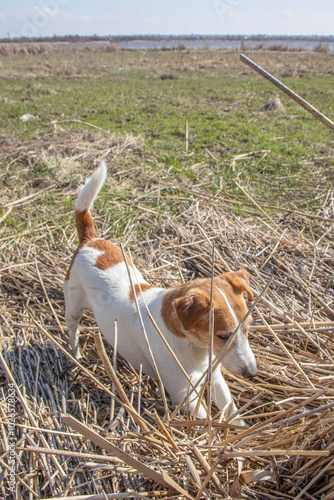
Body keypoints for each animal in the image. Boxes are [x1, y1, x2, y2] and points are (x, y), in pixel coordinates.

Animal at [64, 164, 258, 422]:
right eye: (223, 336)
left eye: (248, 329)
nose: (252, 373)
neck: (192, 346)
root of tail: (90, 240)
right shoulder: (184, 395)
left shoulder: (214, 377)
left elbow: (231, 413)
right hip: (73, 306)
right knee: (73, 330)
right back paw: (75, 355)